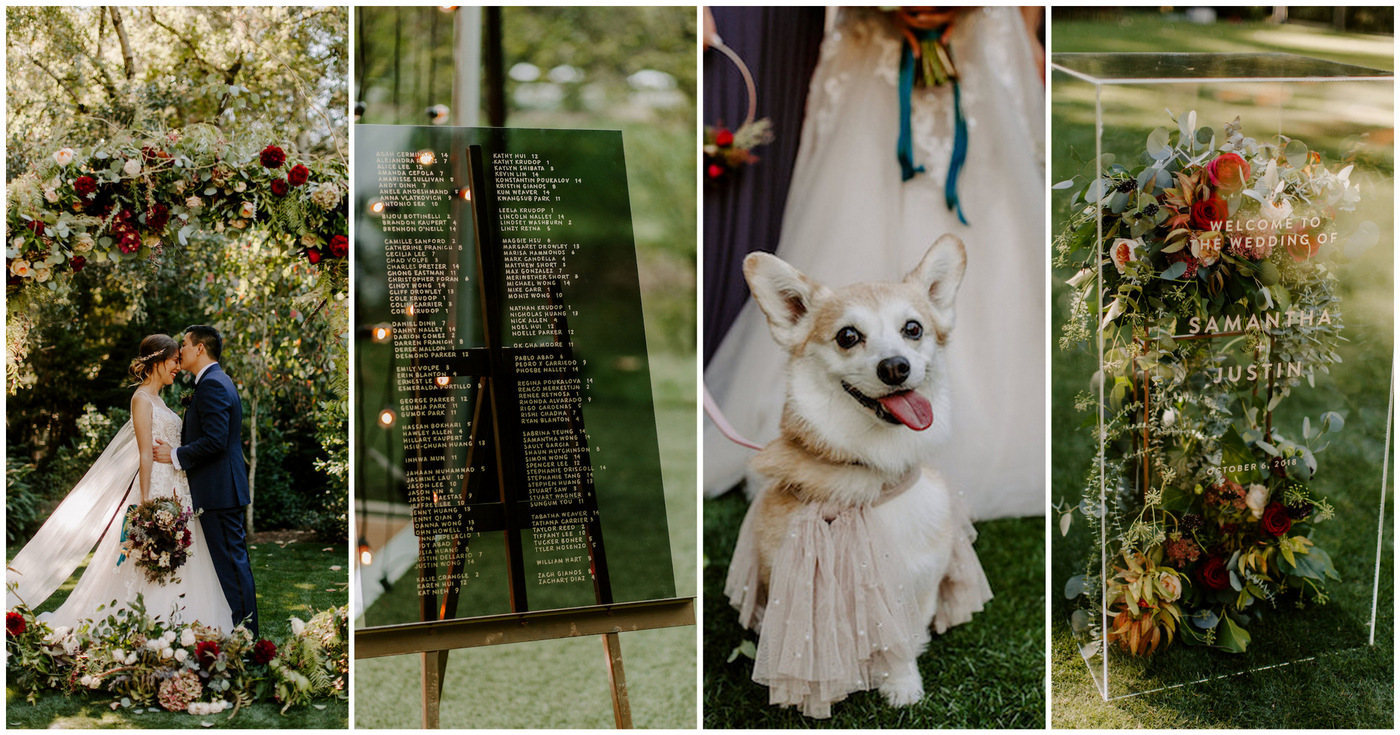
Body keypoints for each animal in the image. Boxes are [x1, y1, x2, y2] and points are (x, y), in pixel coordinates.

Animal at [728, 235, 991, 716]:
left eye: (913, 329)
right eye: (848, 336)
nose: (895, 367)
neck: (869, 474)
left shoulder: (915, 586)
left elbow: (901, 642)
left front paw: (902, 685)